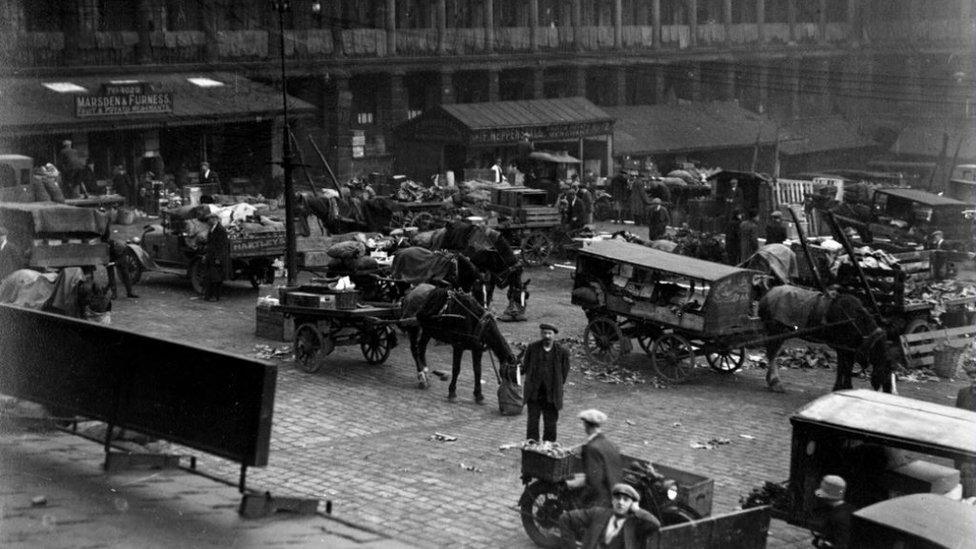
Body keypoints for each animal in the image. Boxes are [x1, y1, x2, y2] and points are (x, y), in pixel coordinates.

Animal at [760, 284, 896, 392]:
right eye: (886, 368)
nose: (888, 391)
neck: (856, 322)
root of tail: (766, 296)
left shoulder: (848, 349)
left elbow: (846, 367)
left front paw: (844, 387)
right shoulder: (843, 347)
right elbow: (843, 368)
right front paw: (841, 387)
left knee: (772, 353)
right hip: (776, 330)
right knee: (772, 354)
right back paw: (775, 382)